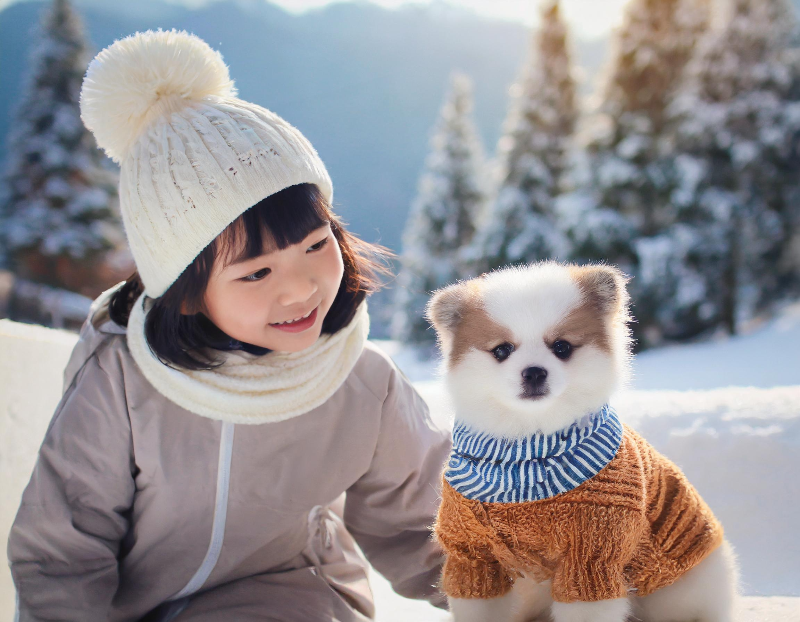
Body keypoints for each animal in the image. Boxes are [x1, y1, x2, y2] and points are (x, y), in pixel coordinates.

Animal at [424, 264, 736, 622]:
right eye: (502, 350)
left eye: (562, 347)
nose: (534, 372)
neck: (526, 455)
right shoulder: (473, 557)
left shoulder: (590, 555)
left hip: (676, 591)